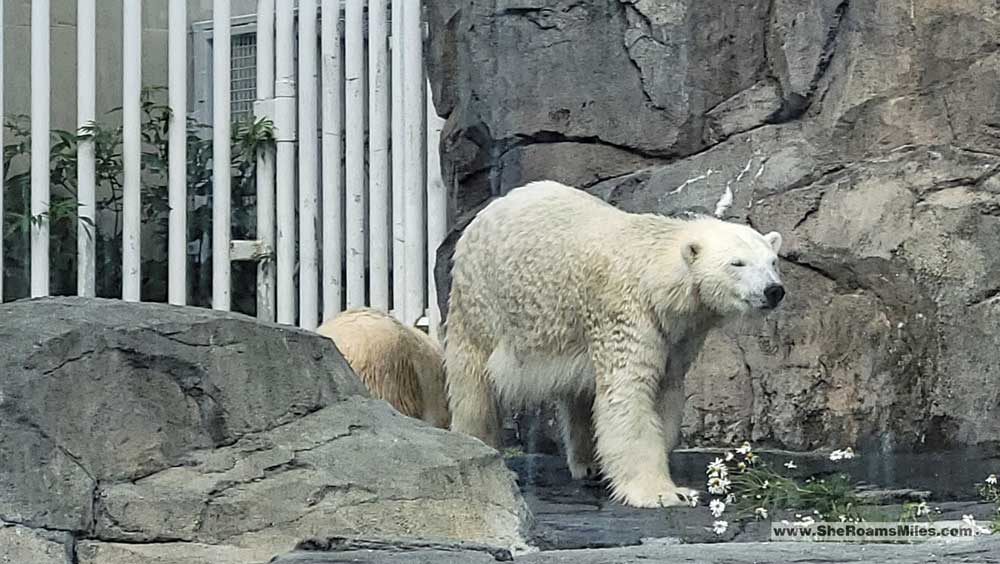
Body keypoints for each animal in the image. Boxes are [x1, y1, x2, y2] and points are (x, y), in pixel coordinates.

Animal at [444, 181, 780, 506]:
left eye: (773, 261)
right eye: (737, 263)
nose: (774, 290)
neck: (654, 276)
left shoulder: (676, 335)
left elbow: (664, 394)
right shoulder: (625, 315)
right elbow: (629, 395)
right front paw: (663, 493)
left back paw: (588, 464)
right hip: (482, 301)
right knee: (474, 381)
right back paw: (483, 452)